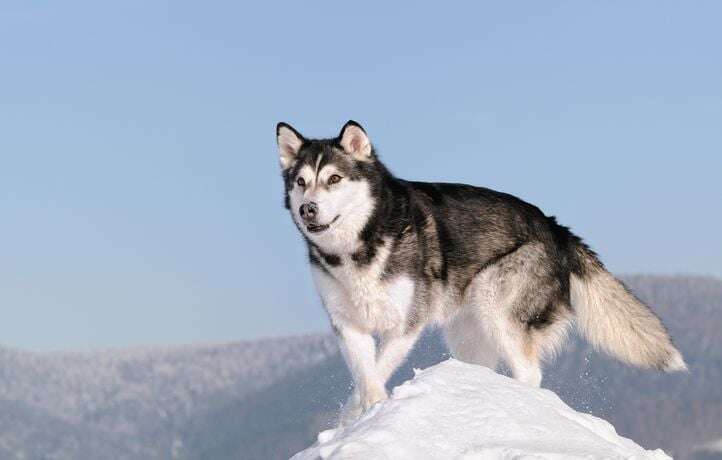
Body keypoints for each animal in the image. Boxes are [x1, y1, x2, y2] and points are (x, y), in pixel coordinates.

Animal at [272, 119, 684, 424]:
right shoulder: (347, 325)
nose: (308, 209)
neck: (359, 245)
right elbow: (365, 374)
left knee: (528, 371)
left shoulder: (407, 323)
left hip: (496, 302)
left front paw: (365, 413)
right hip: (468, 332)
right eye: (301, 182)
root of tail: (553, 227)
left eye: (334, 179)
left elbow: (377, 370)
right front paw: (353, 417)